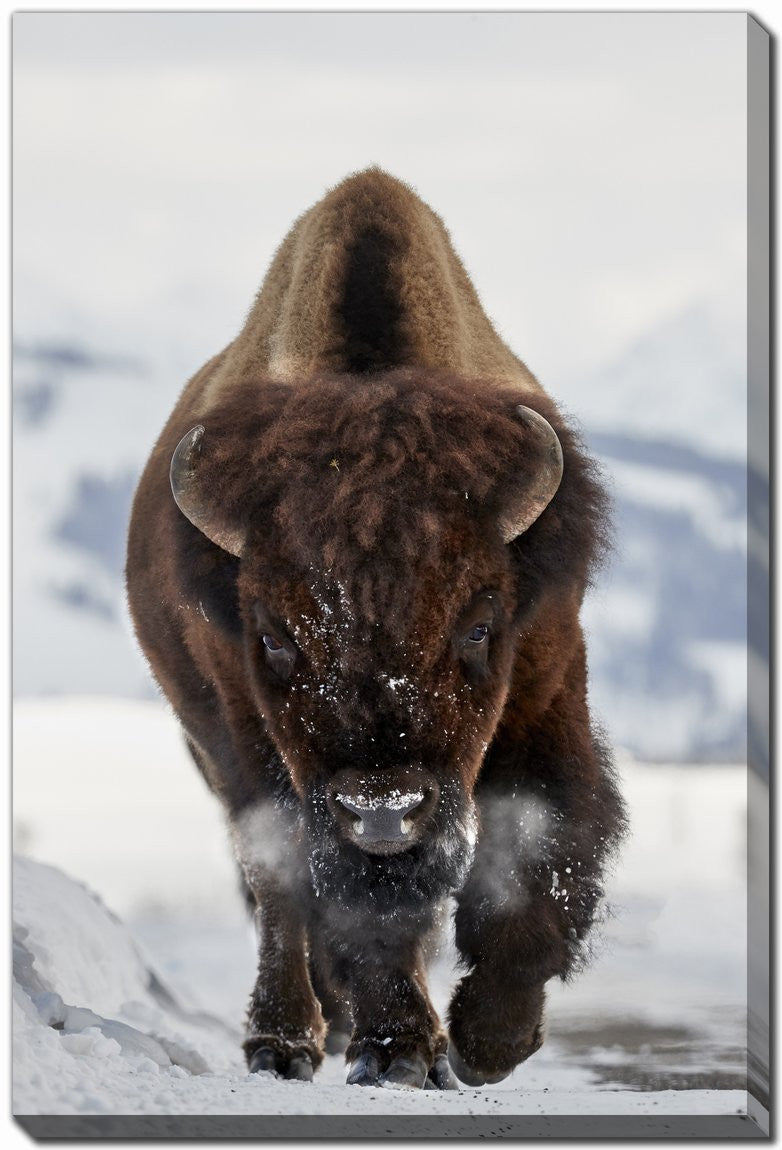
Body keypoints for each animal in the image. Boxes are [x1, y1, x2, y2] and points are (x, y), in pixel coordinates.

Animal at [126, 167, 625, 1091]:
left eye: (480, 625)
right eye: (274, 637)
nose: (384, 812)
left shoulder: (545, 688)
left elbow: (544, 846)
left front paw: (488, 1041)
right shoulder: (254, 738)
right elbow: (337, 900)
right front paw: (398, 1050)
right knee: (280, 891)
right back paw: (287, 1040)